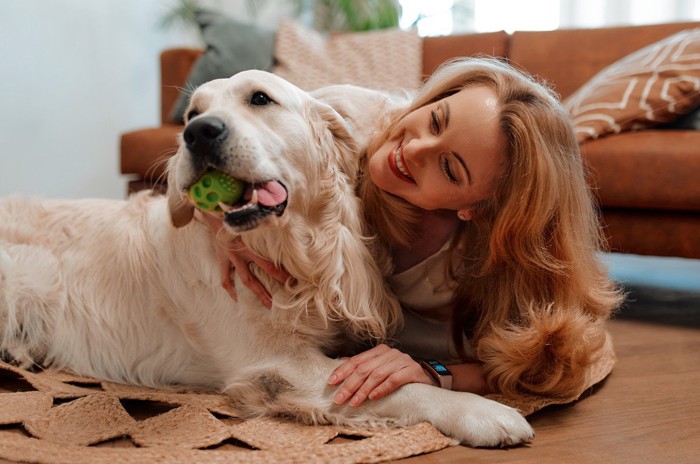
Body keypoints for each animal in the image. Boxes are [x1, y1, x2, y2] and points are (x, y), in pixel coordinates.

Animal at [0, 70, 532, 448]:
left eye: (260, 99)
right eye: (192, 112)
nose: (197, 133)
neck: (295, 253)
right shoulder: (278, 364)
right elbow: (404, 388)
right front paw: (485, 412)